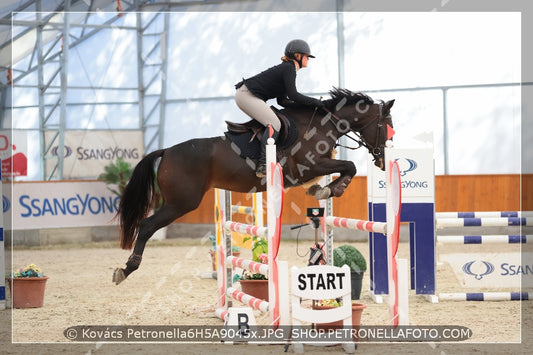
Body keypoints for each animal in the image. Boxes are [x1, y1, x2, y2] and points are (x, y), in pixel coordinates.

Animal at [112, 89, 392, 286]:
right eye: (387, 124)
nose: (381, 160)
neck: (320, 125)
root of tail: (167, 150)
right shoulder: (310, 167)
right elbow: (349, 166)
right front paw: (331, 189)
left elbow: (345, 169)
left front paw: (324, 190)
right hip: (181, 203)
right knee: (146, 225)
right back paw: (126, 269)